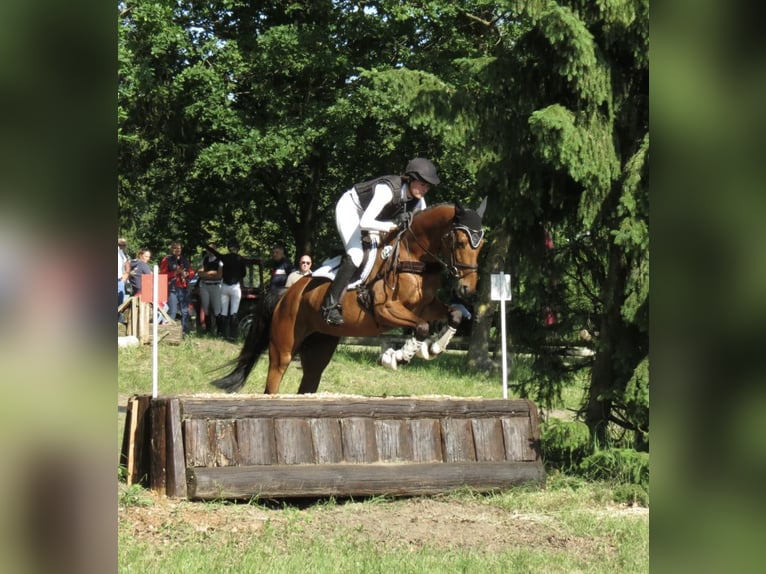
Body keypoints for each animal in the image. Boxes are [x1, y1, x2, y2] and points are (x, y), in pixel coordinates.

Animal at [208, 199, 486, 396]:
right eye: (461, 243)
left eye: (480, 245)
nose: (466, 290)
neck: (413, 256)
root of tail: (288, 294)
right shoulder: (386, 310)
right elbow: (422, 326)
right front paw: (396, 357)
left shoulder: (426, 306)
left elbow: (455, 314)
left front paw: (434, 348)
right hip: (283, 347)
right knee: (273, 382)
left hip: (319, 347)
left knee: (308, 382)